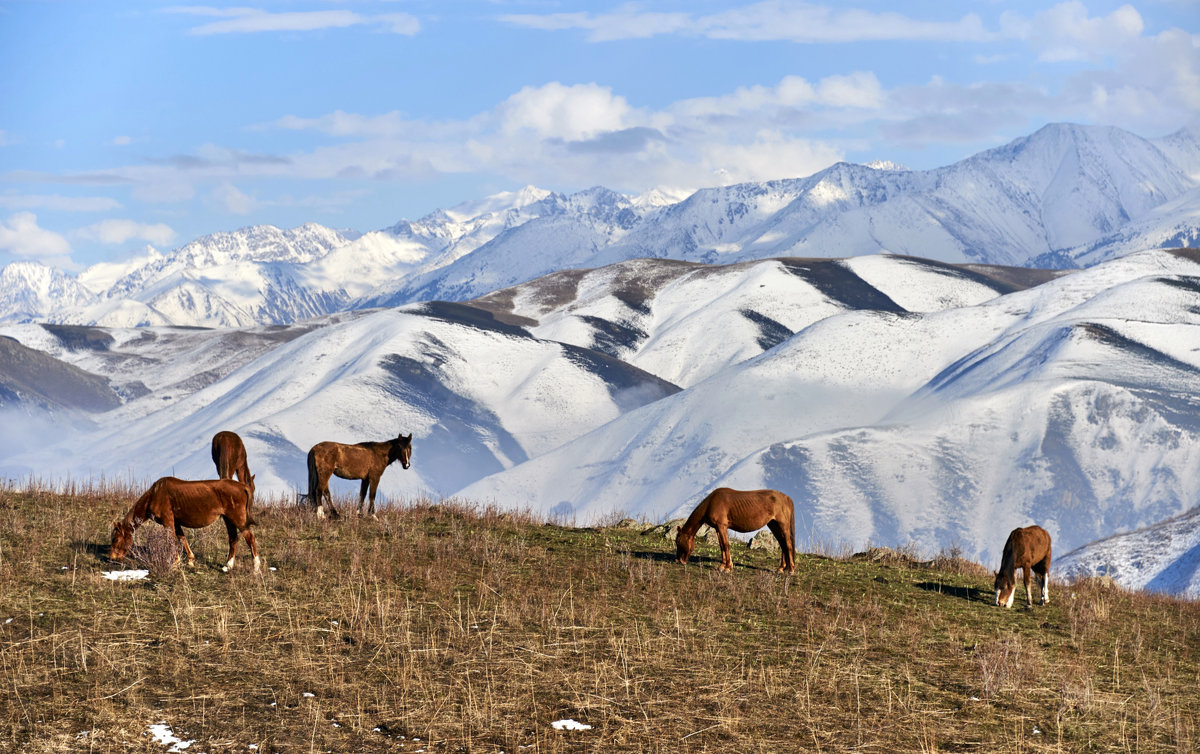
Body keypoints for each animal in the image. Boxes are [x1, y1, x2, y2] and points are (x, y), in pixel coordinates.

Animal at [111, 473, 260, 573]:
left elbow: (172, 540)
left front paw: (174, 563)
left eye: (116, 539)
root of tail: (242, 486)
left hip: (237, 518)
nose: (112, 558)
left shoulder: (168, 520)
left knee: (250, 537)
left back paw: (256, 567)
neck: (154, 495)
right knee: (233, 538)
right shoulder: (176, 522)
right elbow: (182, 538)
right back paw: (227, 565)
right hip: (228, 518)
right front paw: (190, 560)